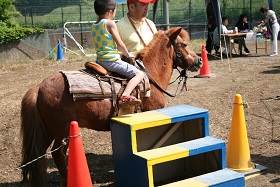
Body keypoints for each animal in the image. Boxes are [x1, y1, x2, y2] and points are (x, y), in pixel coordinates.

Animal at [20, 27, 202, 186]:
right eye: (184, 44)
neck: (150, 75)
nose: (199, 60)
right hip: (62, 130)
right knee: (58, 154)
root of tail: (39, 87)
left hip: (48, 130)